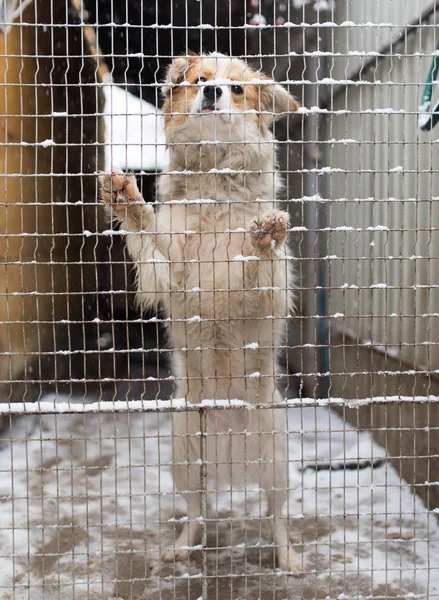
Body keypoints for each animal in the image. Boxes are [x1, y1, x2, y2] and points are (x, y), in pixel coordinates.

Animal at [100, 54, 302, 576]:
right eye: (200, 81)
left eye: (237, 88)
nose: (214, 94)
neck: (213, 178)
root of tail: (231, 444)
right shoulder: (167, 269)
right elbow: (148, 231)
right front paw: (129, 199)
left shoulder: (264, 290)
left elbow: (256, 264)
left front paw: (264, 237)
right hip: (185, 453)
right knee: (196, 510)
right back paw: (182, 546)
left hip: (276, 459)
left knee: (277, 517)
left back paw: (289, 557)